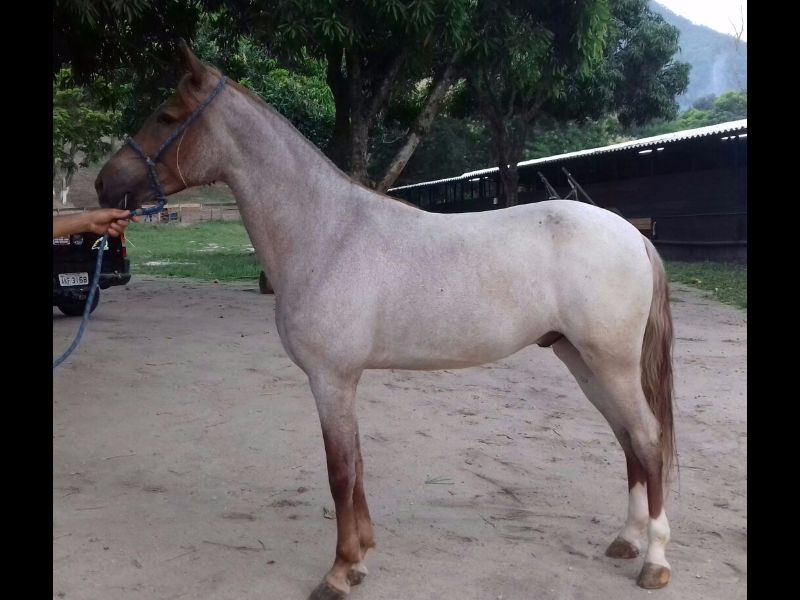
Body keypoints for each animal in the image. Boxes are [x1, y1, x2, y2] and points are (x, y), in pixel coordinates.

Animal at [95, 42, 676, 599]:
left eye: (168, 117)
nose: (104, 184)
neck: (327, 232)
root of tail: (632, 234)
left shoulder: (330, 379)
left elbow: (339, 472)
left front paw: (338, 572)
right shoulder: (343, 381)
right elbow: (356, 466)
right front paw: (361, 558)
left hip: (610, 363)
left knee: (647, 439)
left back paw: (655, 562)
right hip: (581, 361)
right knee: (627, 438)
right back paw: (627, 540)